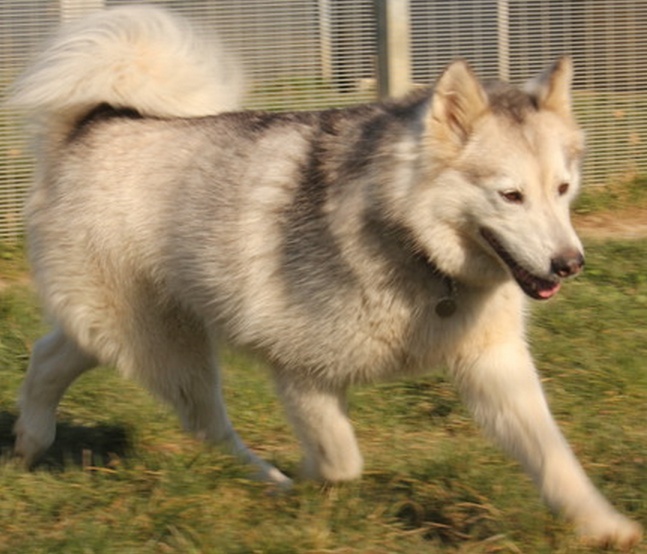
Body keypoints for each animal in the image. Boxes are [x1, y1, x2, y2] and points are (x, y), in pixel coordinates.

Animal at [8, 5, 644, 548]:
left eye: (562, 188)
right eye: (510, 195)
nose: (570, 263)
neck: (415, 247)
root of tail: (97, 121)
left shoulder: (494, 366)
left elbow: (554, 456)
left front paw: (603, 525)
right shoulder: (299, 370)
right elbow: (342, 459)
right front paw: (315, 477)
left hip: (132, 333)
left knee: (50, 356)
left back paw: (28, 445)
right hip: (168, 349)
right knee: (205, 422)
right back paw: (266, 479)